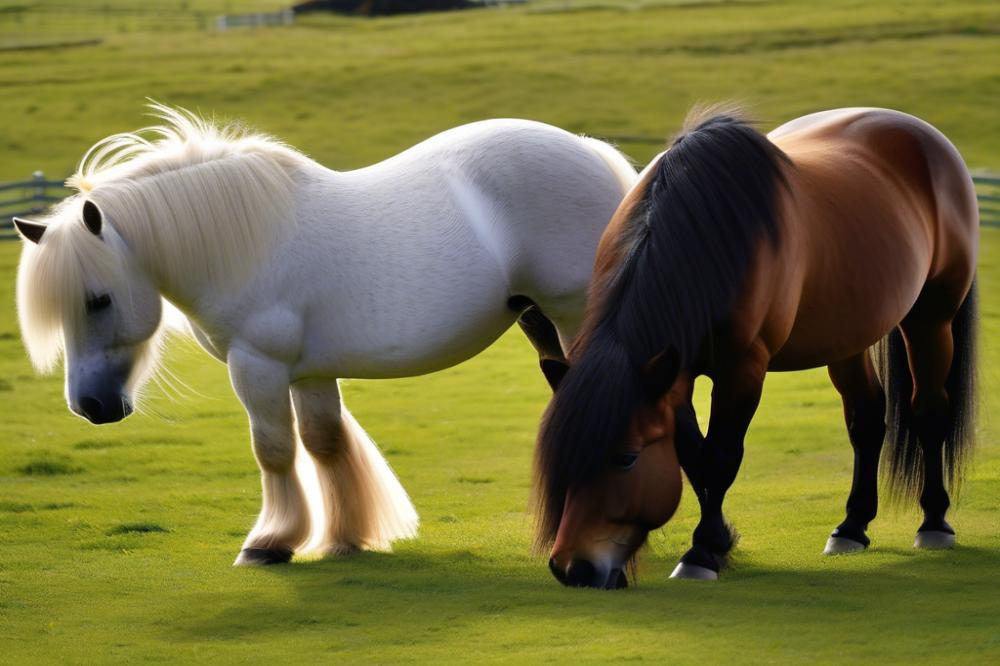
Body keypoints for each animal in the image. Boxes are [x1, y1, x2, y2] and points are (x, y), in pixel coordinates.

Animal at [15, 106, 636, 564]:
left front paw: (270, 543)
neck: (248, 243)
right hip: (540, 322)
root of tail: (593, 153)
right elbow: (324, 442)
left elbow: (274, 449)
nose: (91, 406)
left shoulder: (257, 367)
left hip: (572, 315)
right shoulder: (308, 373)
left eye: (97, 300)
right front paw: (344, 538)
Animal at [536, 106, 980, 588]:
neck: (706, 241)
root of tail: (921, 133)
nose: (572, 568)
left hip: (931, 319)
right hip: (849, 336)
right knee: (866, 419)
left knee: (929, 412)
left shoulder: (741, 369)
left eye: (626, 458)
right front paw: (719, 541)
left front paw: (702, 553)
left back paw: (934, 523)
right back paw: (851, 527)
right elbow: (694, 457)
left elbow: (721, 456)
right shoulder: (675, 374)